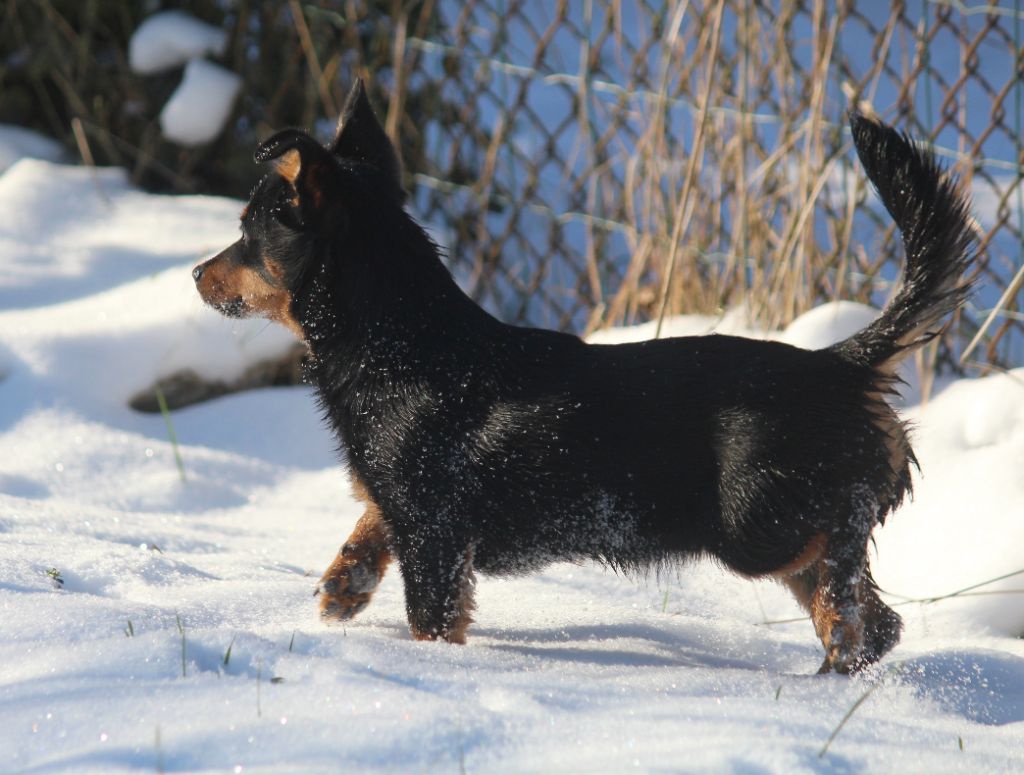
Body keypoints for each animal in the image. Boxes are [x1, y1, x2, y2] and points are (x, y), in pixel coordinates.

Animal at [193, 80, 974, 671]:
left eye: (248, 233)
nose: (198, 273)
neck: (399, 345)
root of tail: (840, 363)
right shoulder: (404, 506)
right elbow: (368, 521)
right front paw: (343, 586)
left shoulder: (436, 533)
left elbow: (430, 614)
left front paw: (430, 666)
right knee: (871, 620)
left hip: (758, 524)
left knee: (844, 573)